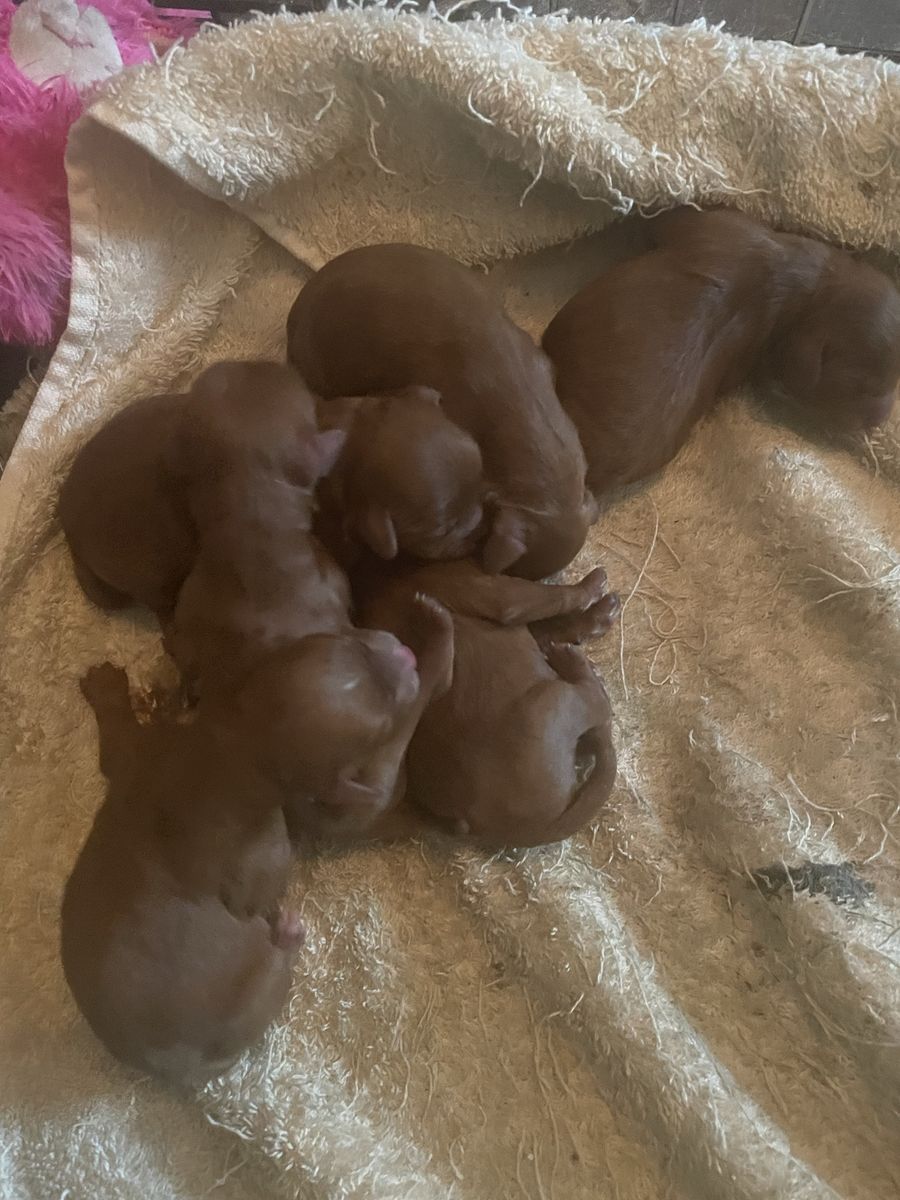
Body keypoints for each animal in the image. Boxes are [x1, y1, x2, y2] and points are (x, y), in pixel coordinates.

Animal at [61, 663, 306, 1087]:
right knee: (280, 960)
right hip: (261, 974)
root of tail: (181, 1066)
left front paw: (107, 686)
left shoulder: (134, 753)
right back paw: (289, 930)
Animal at [358, 560, 619, 848]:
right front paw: (596, 586)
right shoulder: (498, 595)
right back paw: (574, 662)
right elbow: (559, 597)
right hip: (551, 701)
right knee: (598, 705)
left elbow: (553, 626)